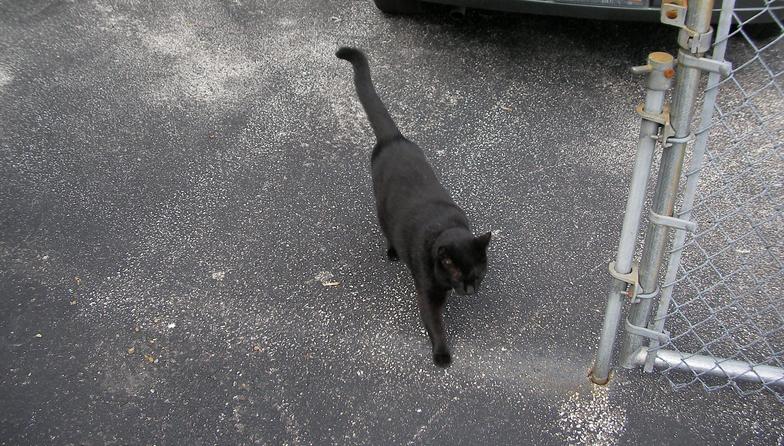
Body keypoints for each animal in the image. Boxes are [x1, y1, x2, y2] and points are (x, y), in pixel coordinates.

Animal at [336, 46, 491, 368]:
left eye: (478, 275)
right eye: (458, 275)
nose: (470, 291)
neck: (446, 227)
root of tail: (393, 139)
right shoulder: (427, 292)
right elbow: (434, 322)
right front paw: (442, 355)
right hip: (381, 208)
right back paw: (392, 252)